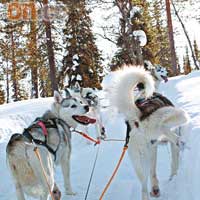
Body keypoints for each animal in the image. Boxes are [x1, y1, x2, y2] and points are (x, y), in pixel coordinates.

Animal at [108, 67, 188, 200]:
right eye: (162, 70)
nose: (167, 73)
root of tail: (137, 116)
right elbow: (174, 163)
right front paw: (173, 177)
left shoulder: (152, 149)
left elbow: (153, 171)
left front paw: (156, 187)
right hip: (178, 114)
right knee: (166, 129)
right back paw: (180, 141)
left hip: (139, 159)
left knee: (144, 187)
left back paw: (152, 191)